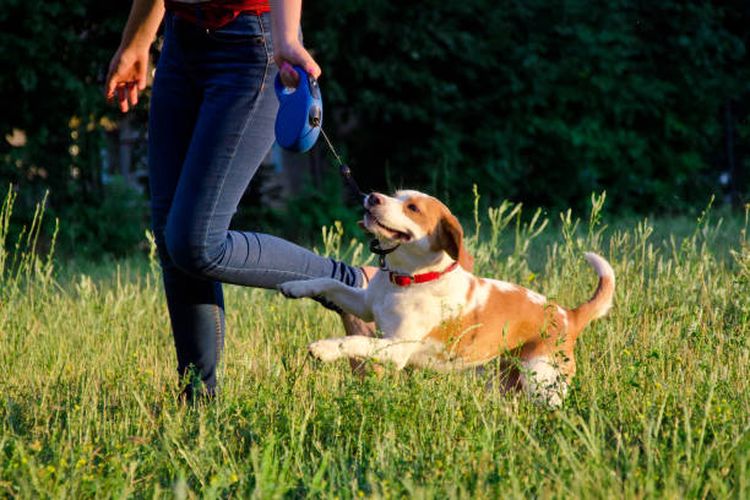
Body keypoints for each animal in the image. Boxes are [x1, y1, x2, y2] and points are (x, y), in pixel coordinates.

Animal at [280, 190, 612, 406]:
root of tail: (569, 315)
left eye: (413, 208)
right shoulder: (365, 306)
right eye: (395, 195)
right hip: (508, 382)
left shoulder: (397, 348)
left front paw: (324, 348)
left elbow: (353, 340)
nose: (372, 196)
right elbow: (330, 283)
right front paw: (294, 286)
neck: (407, 279)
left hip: (542, 383)